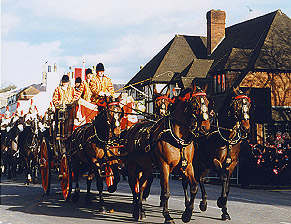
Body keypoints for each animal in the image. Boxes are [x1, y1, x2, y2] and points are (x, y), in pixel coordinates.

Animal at [124, 85, 211, 222]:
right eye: (195, 103)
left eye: (207, 102)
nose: (205, 127)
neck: (178, 138)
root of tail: (132, 128)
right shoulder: (164, 166)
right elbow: (166, 192)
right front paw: (167, 216)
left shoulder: (188, 166)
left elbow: (194, 187)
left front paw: (187, 214)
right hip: (133, 166)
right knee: (134, 187)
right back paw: (135, 211)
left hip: (147, 168)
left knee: (141, 186)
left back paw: (140, 210)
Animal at [194, 86, 251, 220]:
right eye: (237, 104)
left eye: (249, 104)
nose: (246, 127)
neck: (227, 136)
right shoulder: (215, 161)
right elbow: (224, 178)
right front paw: (221, 201)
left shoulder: (232, 164)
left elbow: (228, 185)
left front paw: (225, 210)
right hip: (199, 162)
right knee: (198, 178)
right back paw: (201, 203)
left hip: (204, 164)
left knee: (201, 178)